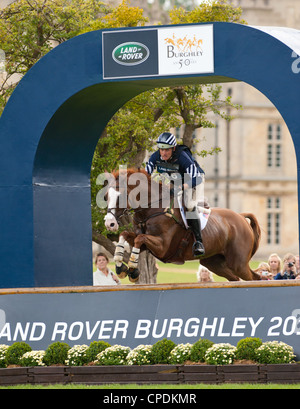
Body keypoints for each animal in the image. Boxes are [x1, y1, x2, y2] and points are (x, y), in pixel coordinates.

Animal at [103, 168, 260, 280]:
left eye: (120, 197)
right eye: (106, 197)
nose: (110, 224)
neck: (151, 210)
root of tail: (240, 217)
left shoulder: (163, 247)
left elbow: (139, 239)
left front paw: (132, 269)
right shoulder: (146, 245)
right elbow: (126, 235)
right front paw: (120, 267)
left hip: (238, 264)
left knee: (255, 278)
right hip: (214, 263)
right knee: (235, 279)